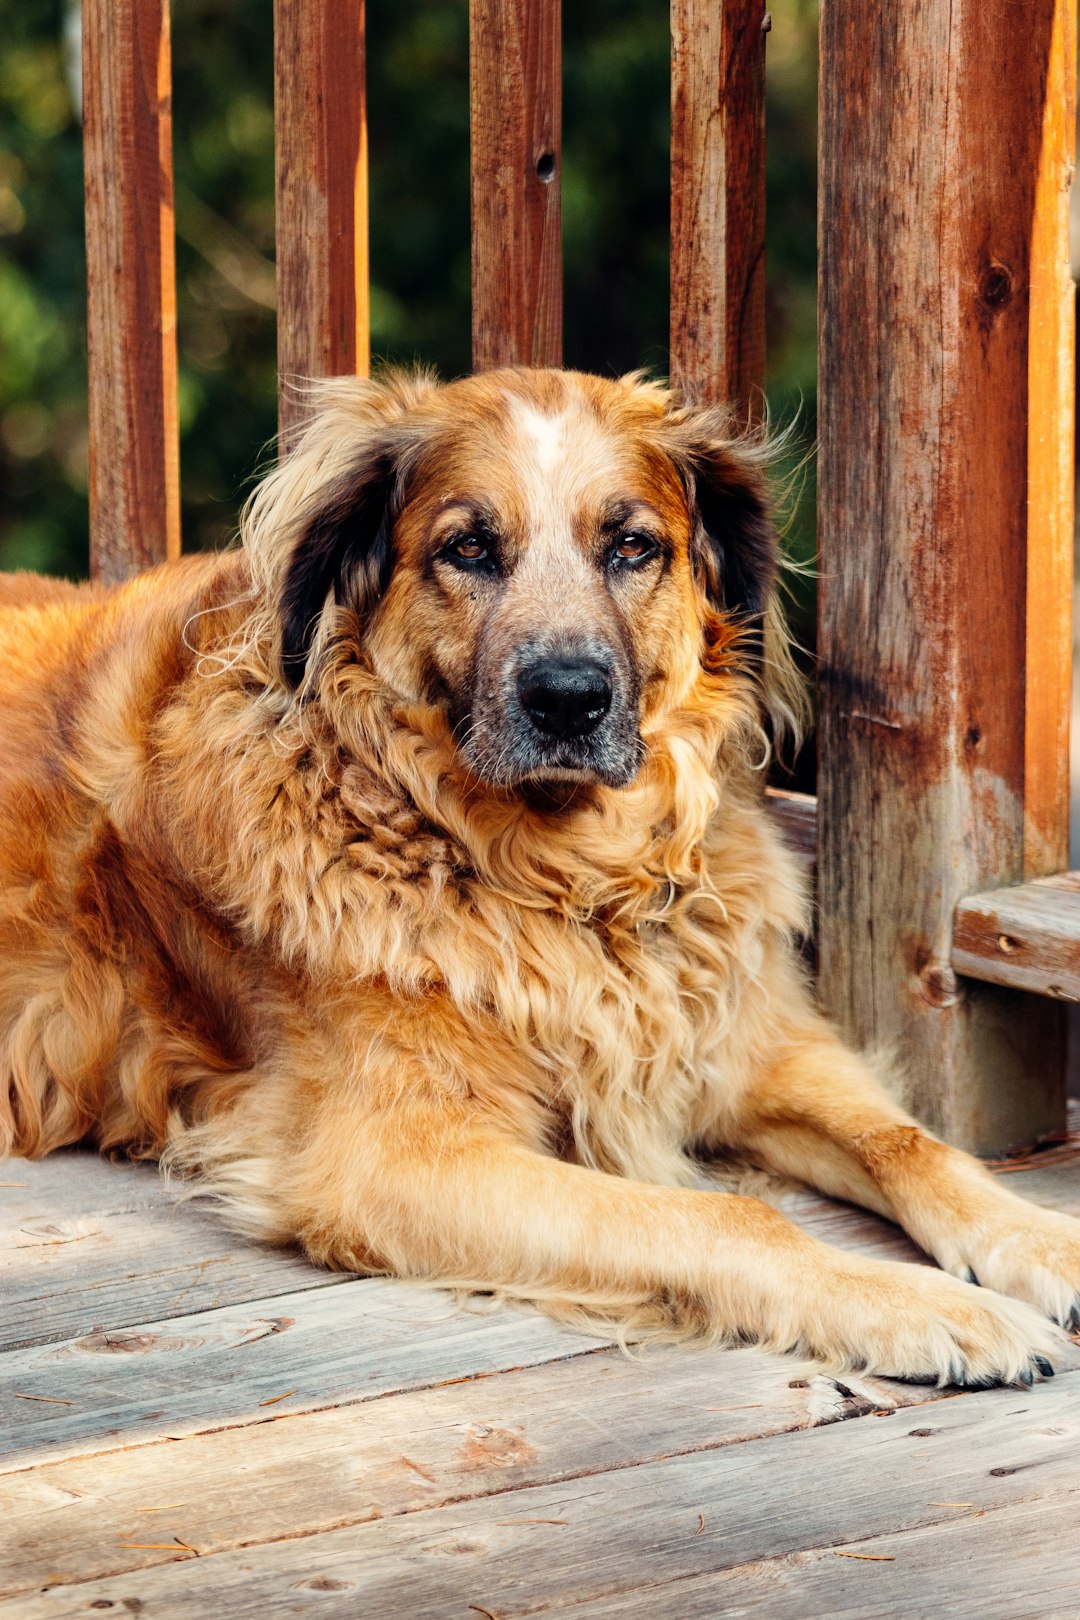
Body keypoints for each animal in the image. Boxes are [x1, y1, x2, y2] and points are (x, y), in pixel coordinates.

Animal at [2, 372, 1080, 1386]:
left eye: (632, 546)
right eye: (470, 548)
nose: (568, 698)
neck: (564, 877)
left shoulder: (740, 1046)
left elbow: (911, 1143)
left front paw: (1042, 1241)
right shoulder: (399, 1157)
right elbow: (727, 1218)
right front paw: (925, 1307)